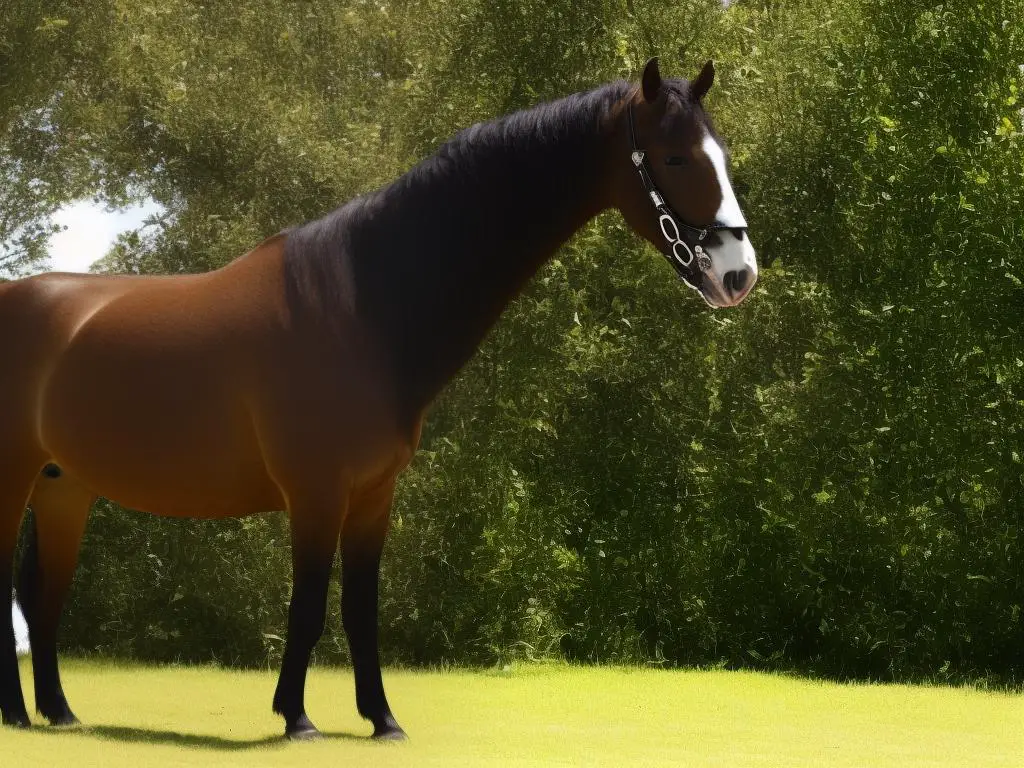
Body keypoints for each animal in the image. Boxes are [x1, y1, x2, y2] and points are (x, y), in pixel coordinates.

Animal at [2, 57, 761, 741]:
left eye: (720, 156)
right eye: (674, 156)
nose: (738, 274)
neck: (360, 307)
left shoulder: (372, 494)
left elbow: (360, 611)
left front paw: (382, 719)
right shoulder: (315, 493)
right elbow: (309, 606)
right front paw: (297, 718)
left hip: (65, 489)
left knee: (44, 601)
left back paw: (61, 714)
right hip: (14, 482)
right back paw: (18, 714)